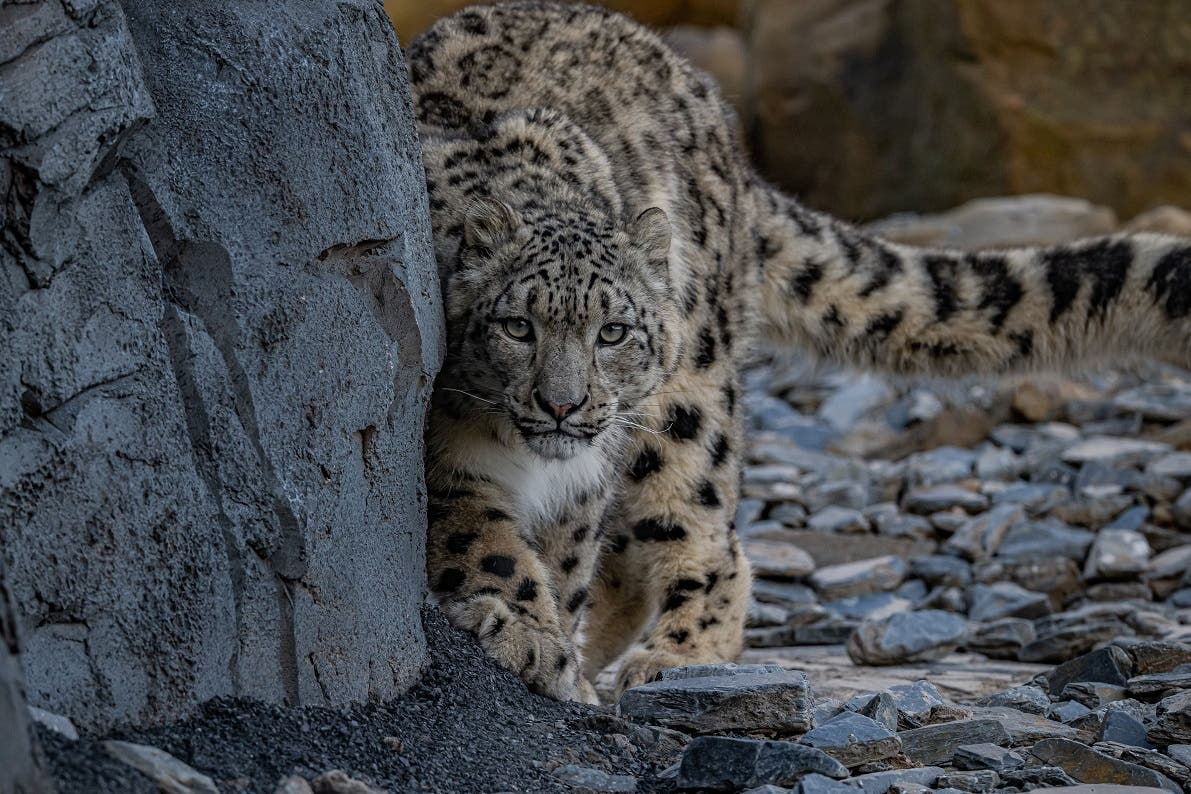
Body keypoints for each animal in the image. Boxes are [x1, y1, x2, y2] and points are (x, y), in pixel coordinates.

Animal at [402, 3, 1191, 704]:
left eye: (613, 332)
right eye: (516, 327)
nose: (562, 405)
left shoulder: (583, 479)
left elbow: (562, 563)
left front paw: (550, 647)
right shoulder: (448, 458)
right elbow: (494, 549)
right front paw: (533, 639)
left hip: (688, 401)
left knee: (705, 531)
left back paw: (675, 660)